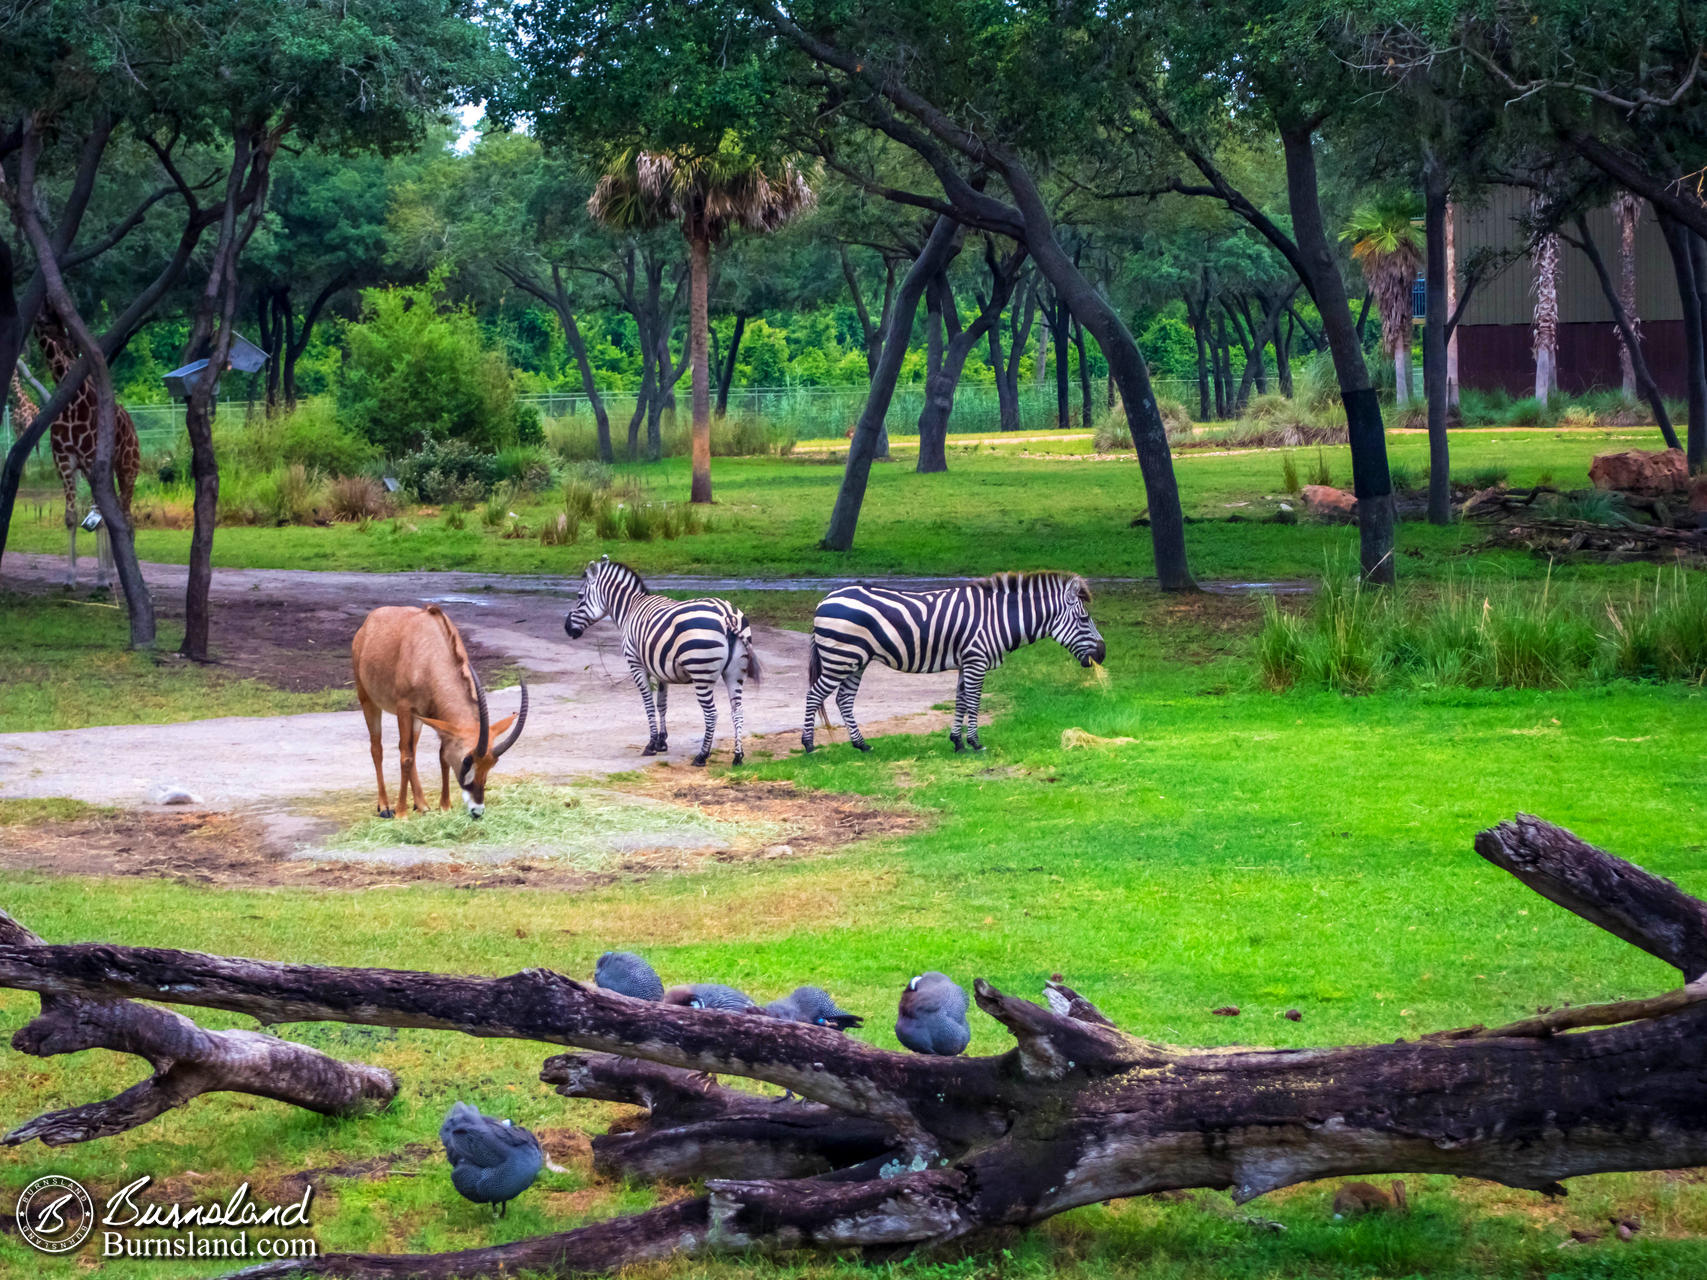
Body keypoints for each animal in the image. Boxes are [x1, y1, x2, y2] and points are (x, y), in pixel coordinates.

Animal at [18, 310, 140, 590]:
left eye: (47, 318)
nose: (42, 324)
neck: (73, 403)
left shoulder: (92, 459)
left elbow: (100, 517)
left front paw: (102, 580)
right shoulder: (64, 461)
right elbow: (72, 517)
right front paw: (70, 579)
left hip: (128, 466)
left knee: (126, 517)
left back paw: (119, 577)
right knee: (114, 513)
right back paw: (114, 572)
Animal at [351, 607, 525, 822]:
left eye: (492, 764)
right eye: (467, 760)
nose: (477, 810)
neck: (430, 654)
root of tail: (369, 622)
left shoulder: (436, 719)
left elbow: (441, 757)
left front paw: (445, 807)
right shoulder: (404, 708)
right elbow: (405, 758)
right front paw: (401, 814)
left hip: (417, 719)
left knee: (409, 749)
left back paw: (422, 804)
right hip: (368, 700)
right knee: (378, 749)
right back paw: (385, 806)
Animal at [563, 556, 764, 768]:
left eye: (579, 596)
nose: (567, 628)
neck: (630, 609)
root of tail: (726, 614)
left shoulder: (636, 665)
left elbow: (648, 704)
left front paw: (651, 744)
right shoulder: (661, 670)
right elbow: (662, 704)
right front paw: (662, 741)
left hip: (701, 672)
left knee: (711, 714)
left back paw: (702, 756)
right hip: (736, 672)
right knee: (738, 711)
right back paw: (738, 756)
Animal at [802, 576, 1106, 757]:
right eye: (1084, 619)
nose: (1103, 654)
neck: (998, 618)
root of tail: (825, 599)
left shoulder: (966, 662)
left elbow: (960, 701)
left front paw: (957, 741)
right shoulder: (976, 660)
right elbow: (973, 701)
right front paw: (975, 742)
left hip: (856, 661)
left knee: (844, 699)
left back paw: (862, 744)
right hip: (840, 658)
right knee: (814, 695)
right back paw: (809, 745)